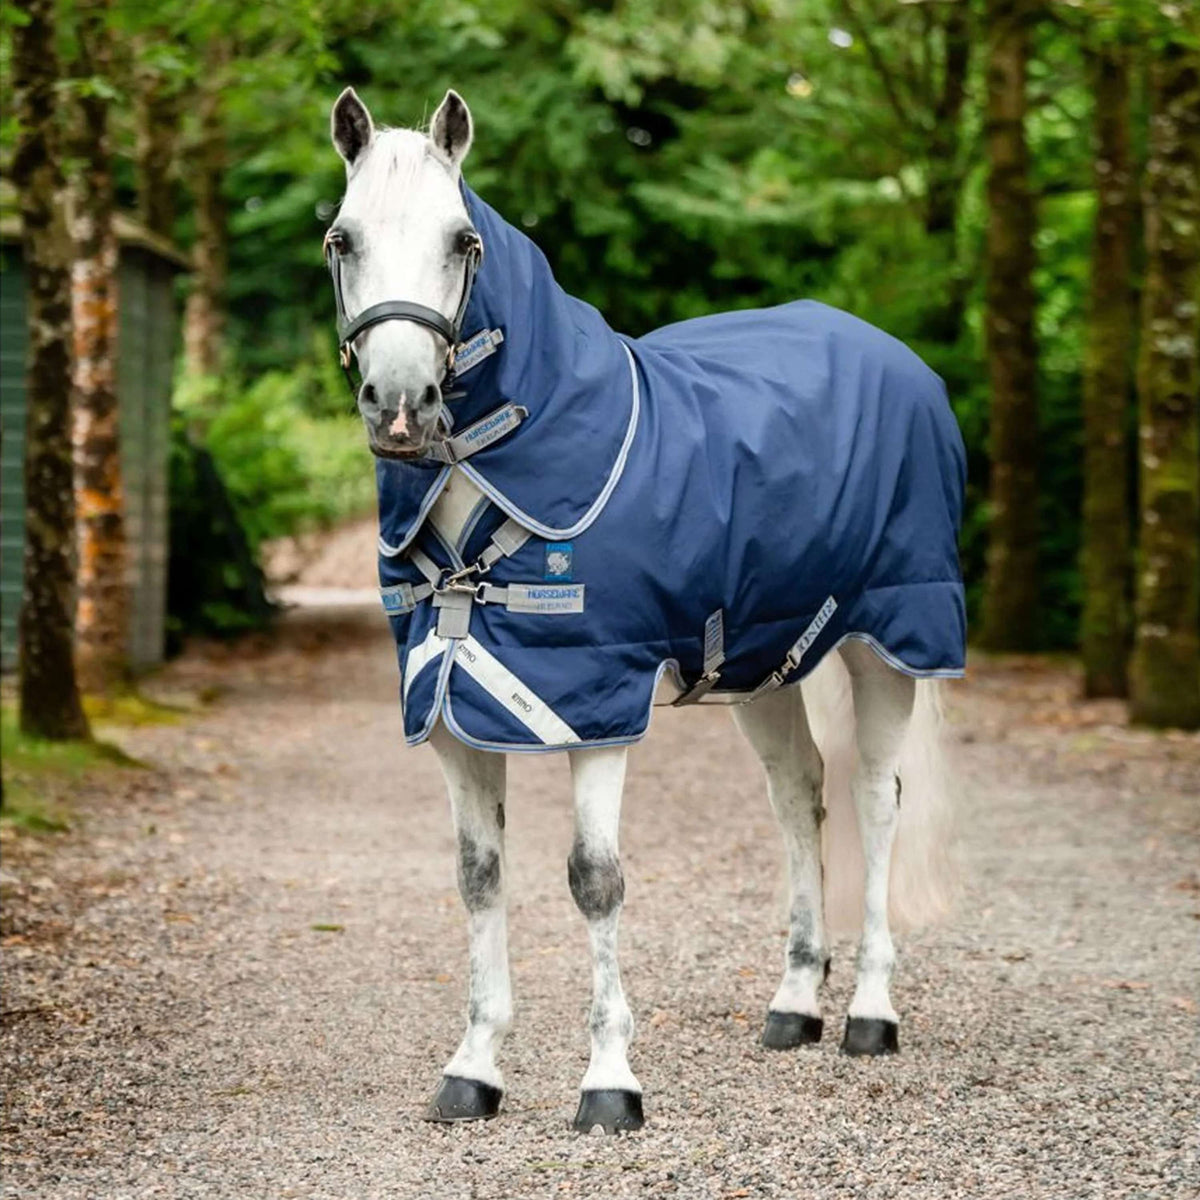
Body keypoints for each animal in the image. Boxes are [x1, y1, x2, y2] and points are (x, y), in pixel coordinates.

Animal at [324, 87, 966, 1134]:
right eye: (343, 239)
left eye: (464, 241)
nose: (402, 406)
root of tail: (898, 359)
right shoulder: (452, 709)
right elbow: (478, 877)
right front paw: (474, 1068)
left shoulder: (594, 707)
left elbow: (594, 880)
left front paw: (609, 1082)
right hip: (763, 664)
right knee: (800, 796)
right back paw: (795, 1003)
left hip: (888, 642)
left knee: (877, 799)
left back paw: (871, 1011)